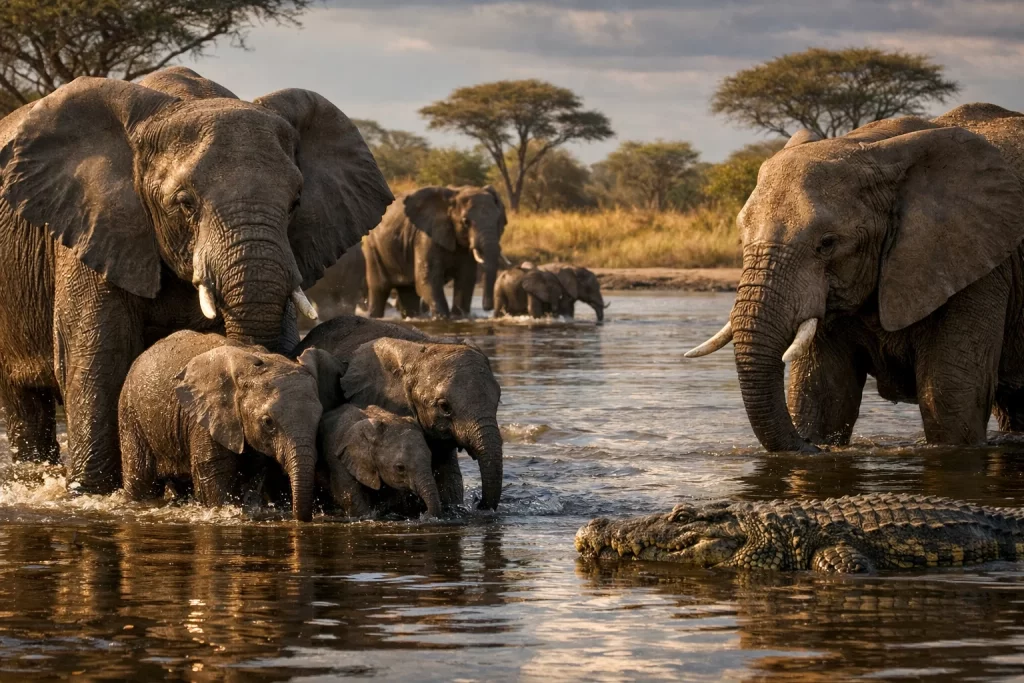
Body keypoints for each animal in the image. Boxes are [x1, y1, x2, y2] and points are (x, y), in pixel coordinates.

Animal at [119, 331, 338, 521]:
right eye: (268, 422)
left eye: (318, 420)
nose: (299, 518)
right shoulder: (206, 418)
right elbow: (215, 473)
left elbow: (255, 475)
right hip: (130, 414)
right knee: (141, 479)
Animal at [363, 185, 509, 318]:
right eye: (465, 222)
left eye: (498, 221)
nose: (488, 307)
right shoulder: (425, 235)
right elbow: (427, 279)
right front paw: (443, 318)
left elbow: (466, 279)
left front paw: (460, 317)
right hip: (373, 247)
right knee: (380, 287)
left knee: (409, 292)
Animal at [685, 103, 1024, 452]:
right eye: (741, 237)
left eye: (827, 243)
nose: (811, 447)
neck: (875, 148)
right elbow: (821, 395)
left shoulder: (979, 265)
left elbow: (950, 400)